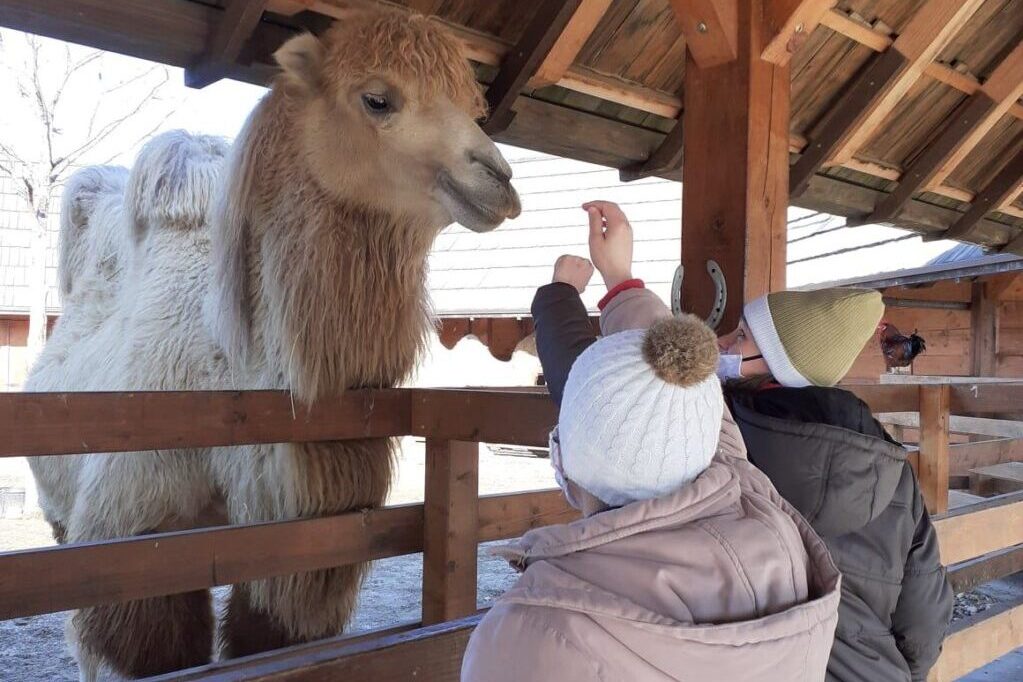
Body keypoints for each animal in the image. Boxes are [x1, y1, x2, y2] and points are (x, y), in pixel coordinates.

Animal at [25, 13, 519, 678]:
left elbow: (270, 636)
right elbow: (147, 649)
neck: (234, 376)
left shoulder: (294, 539)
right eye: (377, 99)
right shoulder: (135, 533)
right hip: (58, 515)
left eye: (473, 105)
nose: (500, 180)